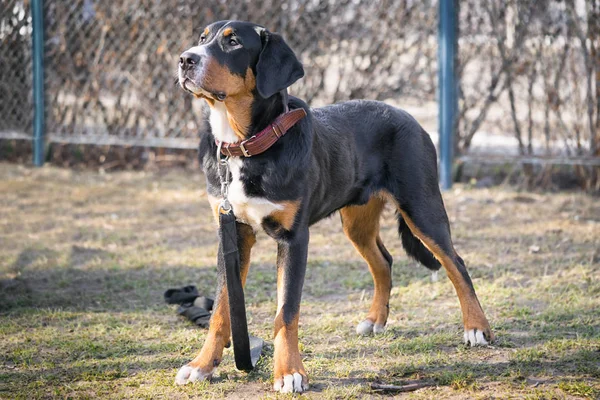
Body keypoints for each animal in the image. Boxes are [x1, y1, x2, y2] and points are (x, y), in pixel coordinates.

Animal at [175, 20, 492, 392]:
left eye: (234, 42)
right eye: (202, 38)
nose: (185, 59)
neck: (246, 146)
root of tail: (406, 115)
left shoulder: (294, 238)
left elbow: (286, 311)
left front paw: (289, 373)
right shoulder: (233, 234)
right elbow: (222, 308)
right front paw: (201, 366)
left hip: (422, 208)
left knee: (456, 263)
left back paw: (476, 328)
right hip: (357, 222)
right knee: (383, 262)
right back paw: (375, 320)